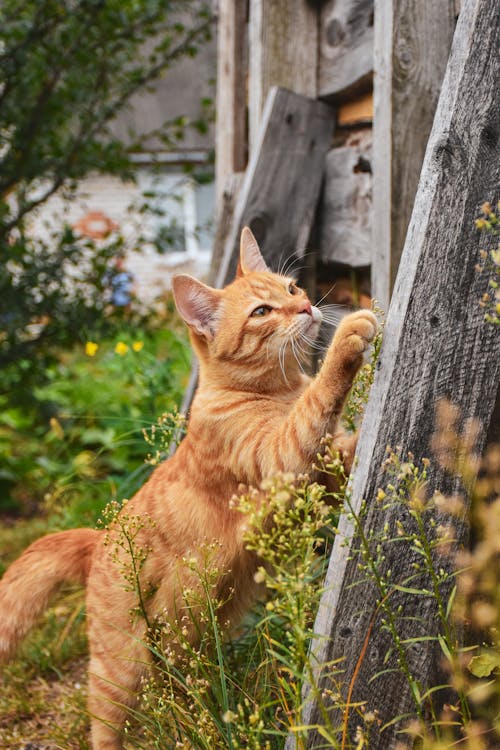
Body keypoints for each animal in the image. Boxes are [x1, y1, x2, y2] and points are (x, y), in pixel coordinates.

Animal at [0, 228, 376, 748]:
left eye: (292, 288)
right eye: (262, 311)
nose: (305, 308)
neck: (277, 390)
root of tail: (98, 538)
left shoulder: (321, 475)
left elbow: (341, 441)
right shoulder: (282, 456)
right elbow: (318, 401)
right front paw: (348, 339)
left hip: (186, 643)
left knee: (178, 695)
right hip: (119, 668)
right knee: (106, 721)